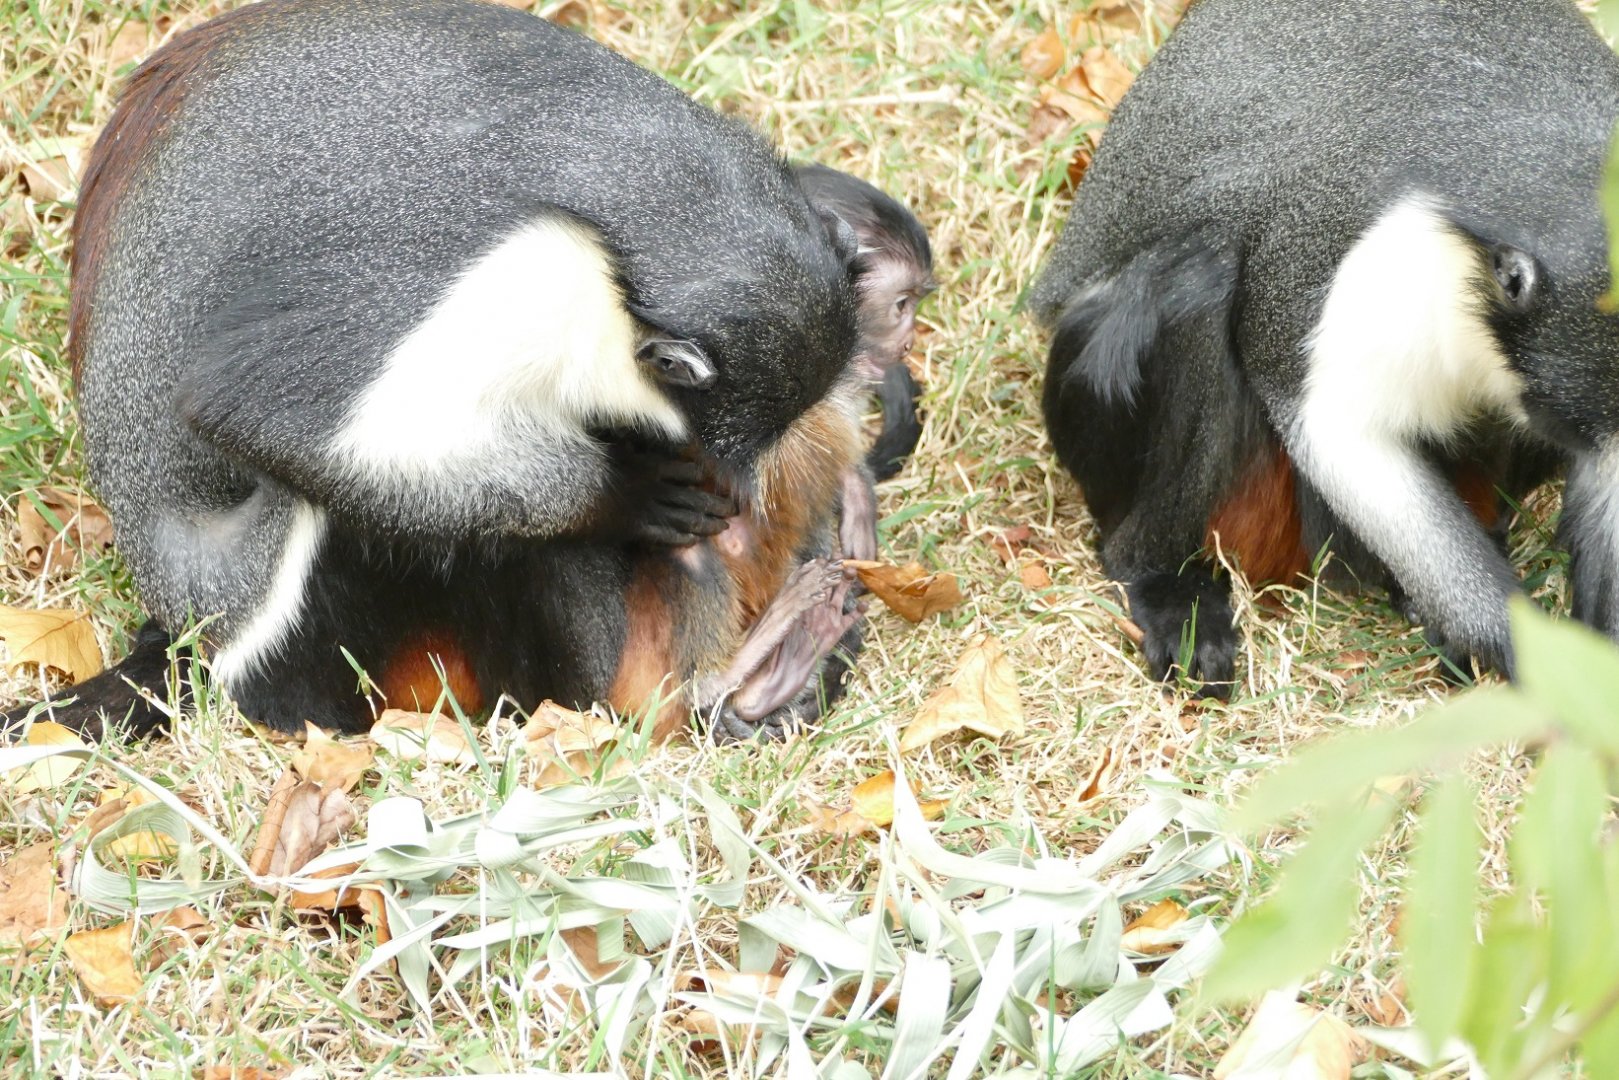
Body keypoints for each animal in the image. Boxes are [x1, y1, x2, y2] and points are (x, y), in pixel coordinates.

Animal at [5, 0, 870, 739]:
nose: (738, 501)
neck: (647, 195)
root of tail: (189, 617)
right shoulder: (496, 272)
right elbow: (258, 412)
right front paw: (624, 495)